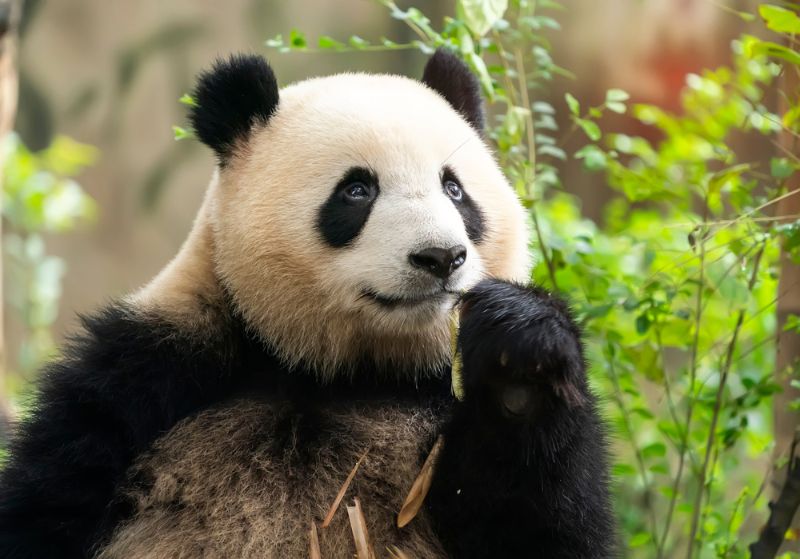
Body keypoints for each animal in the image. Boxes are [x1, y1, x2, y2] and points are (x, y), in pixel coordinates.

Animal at [0, 50, 612, 556]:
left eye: (455, 189)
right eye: (357, 190)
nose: (441, 257)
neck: (335, 370)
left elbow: (541, 527)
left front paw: (520, 360)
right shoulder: (148, 372)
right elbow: (48, 504)